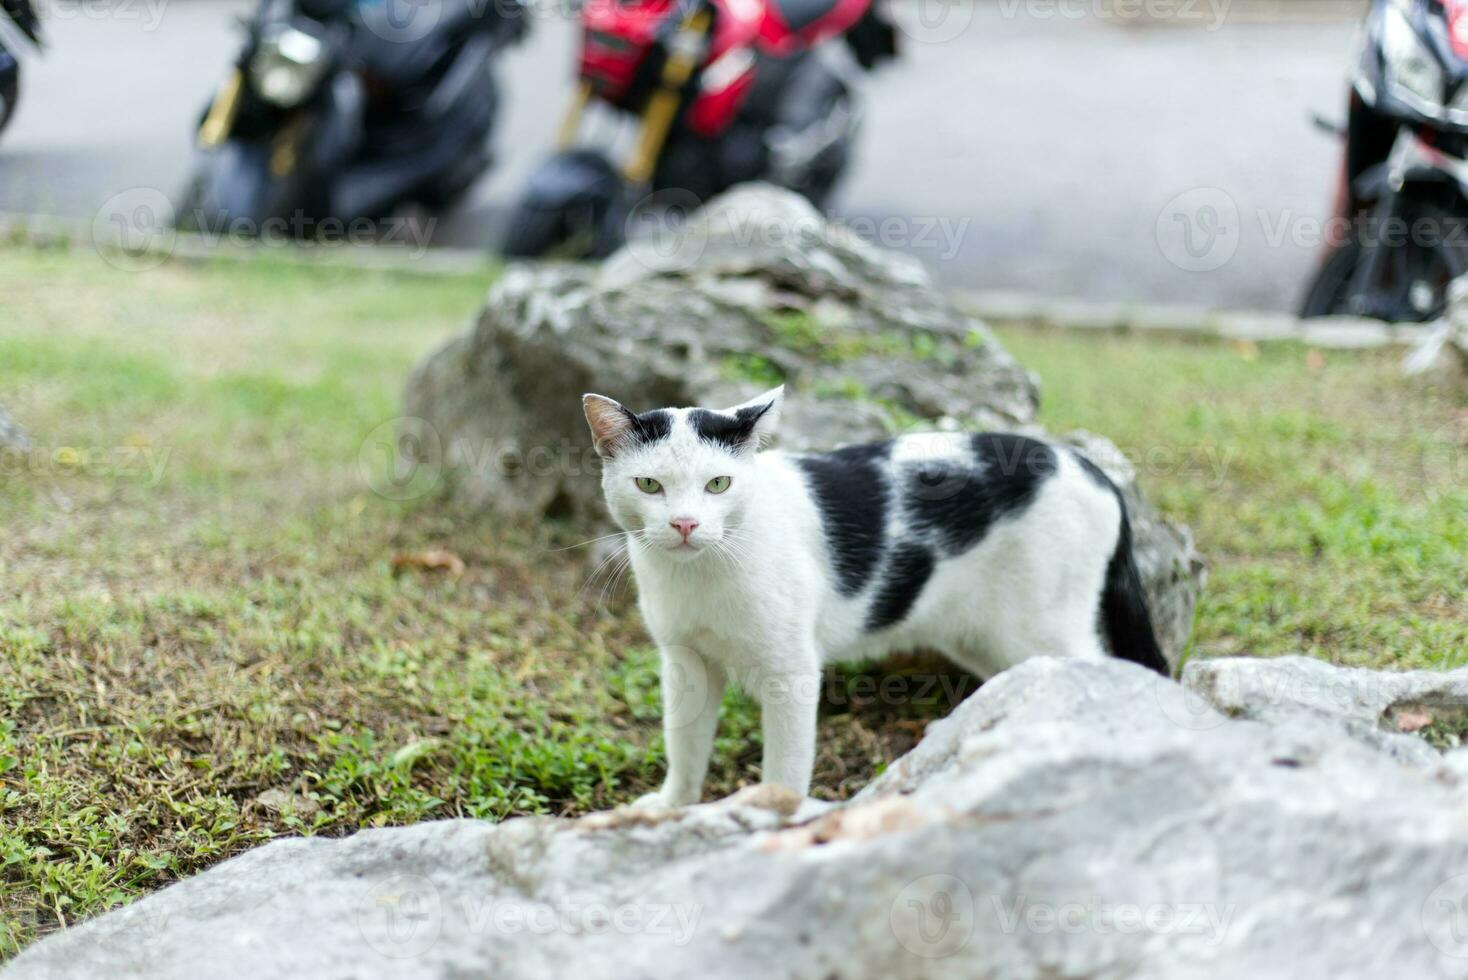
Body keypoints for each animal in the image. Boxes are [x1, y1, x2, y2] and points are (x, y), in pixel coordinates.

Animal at [578, 381, 1162, 803]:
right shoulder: (684, 661)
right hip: (987, 639)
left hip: (1043, 626)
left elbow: (785, 767)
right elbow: (685, 747)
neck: (701, 574)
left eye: (718, 484)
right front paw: (673, 810)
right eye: (649, 485)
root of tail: (1091, 469)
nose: (684, 524)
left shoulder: (791, 673)